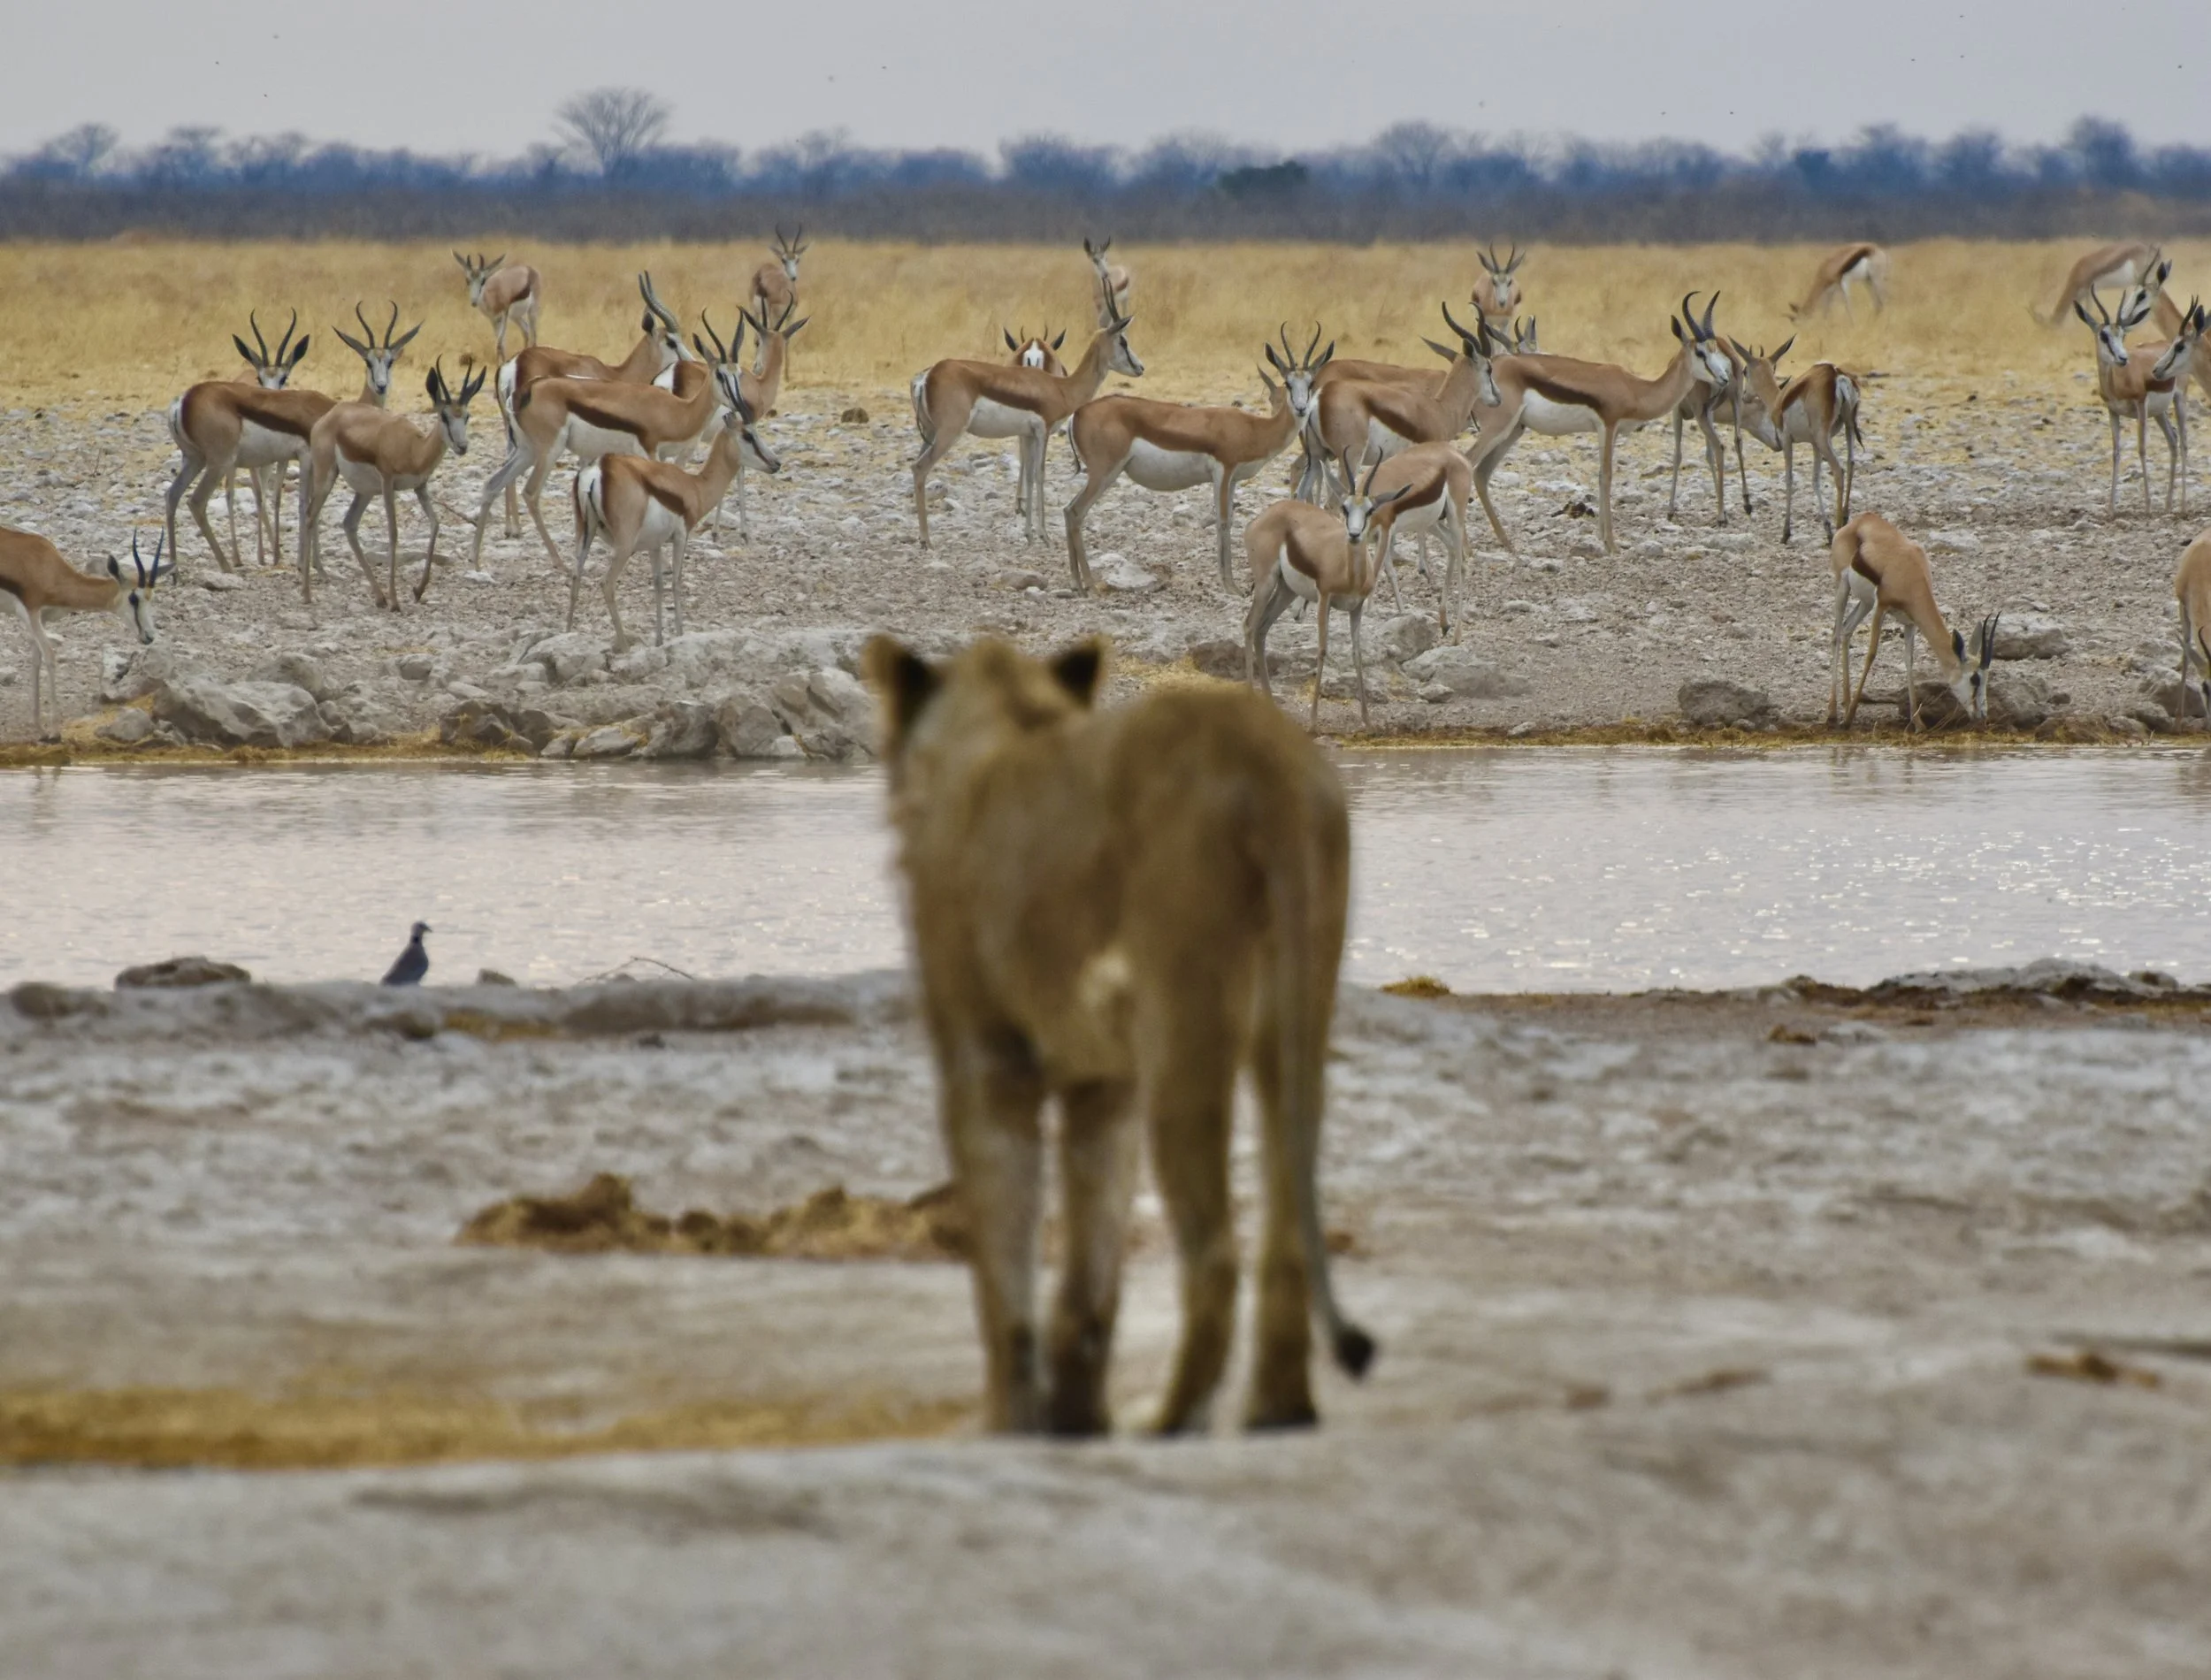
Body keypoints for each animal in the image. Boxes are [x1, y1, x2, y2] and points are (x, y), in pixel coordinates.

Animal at [863, 633, 1375, 1437]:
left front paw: (1012, 1420)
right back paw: (1276, 1410)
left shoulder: (985, 1062)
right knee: (1288, 1225)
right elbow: (1090, 1267)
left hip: (1185, 1018)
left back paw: (1172, 1421)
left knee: (1215, 1252)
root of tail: (1267, 763)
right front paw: (1076, 1418)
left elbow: (1004, 1262)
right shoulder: (1104, 1083)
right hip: (1295, 1013)